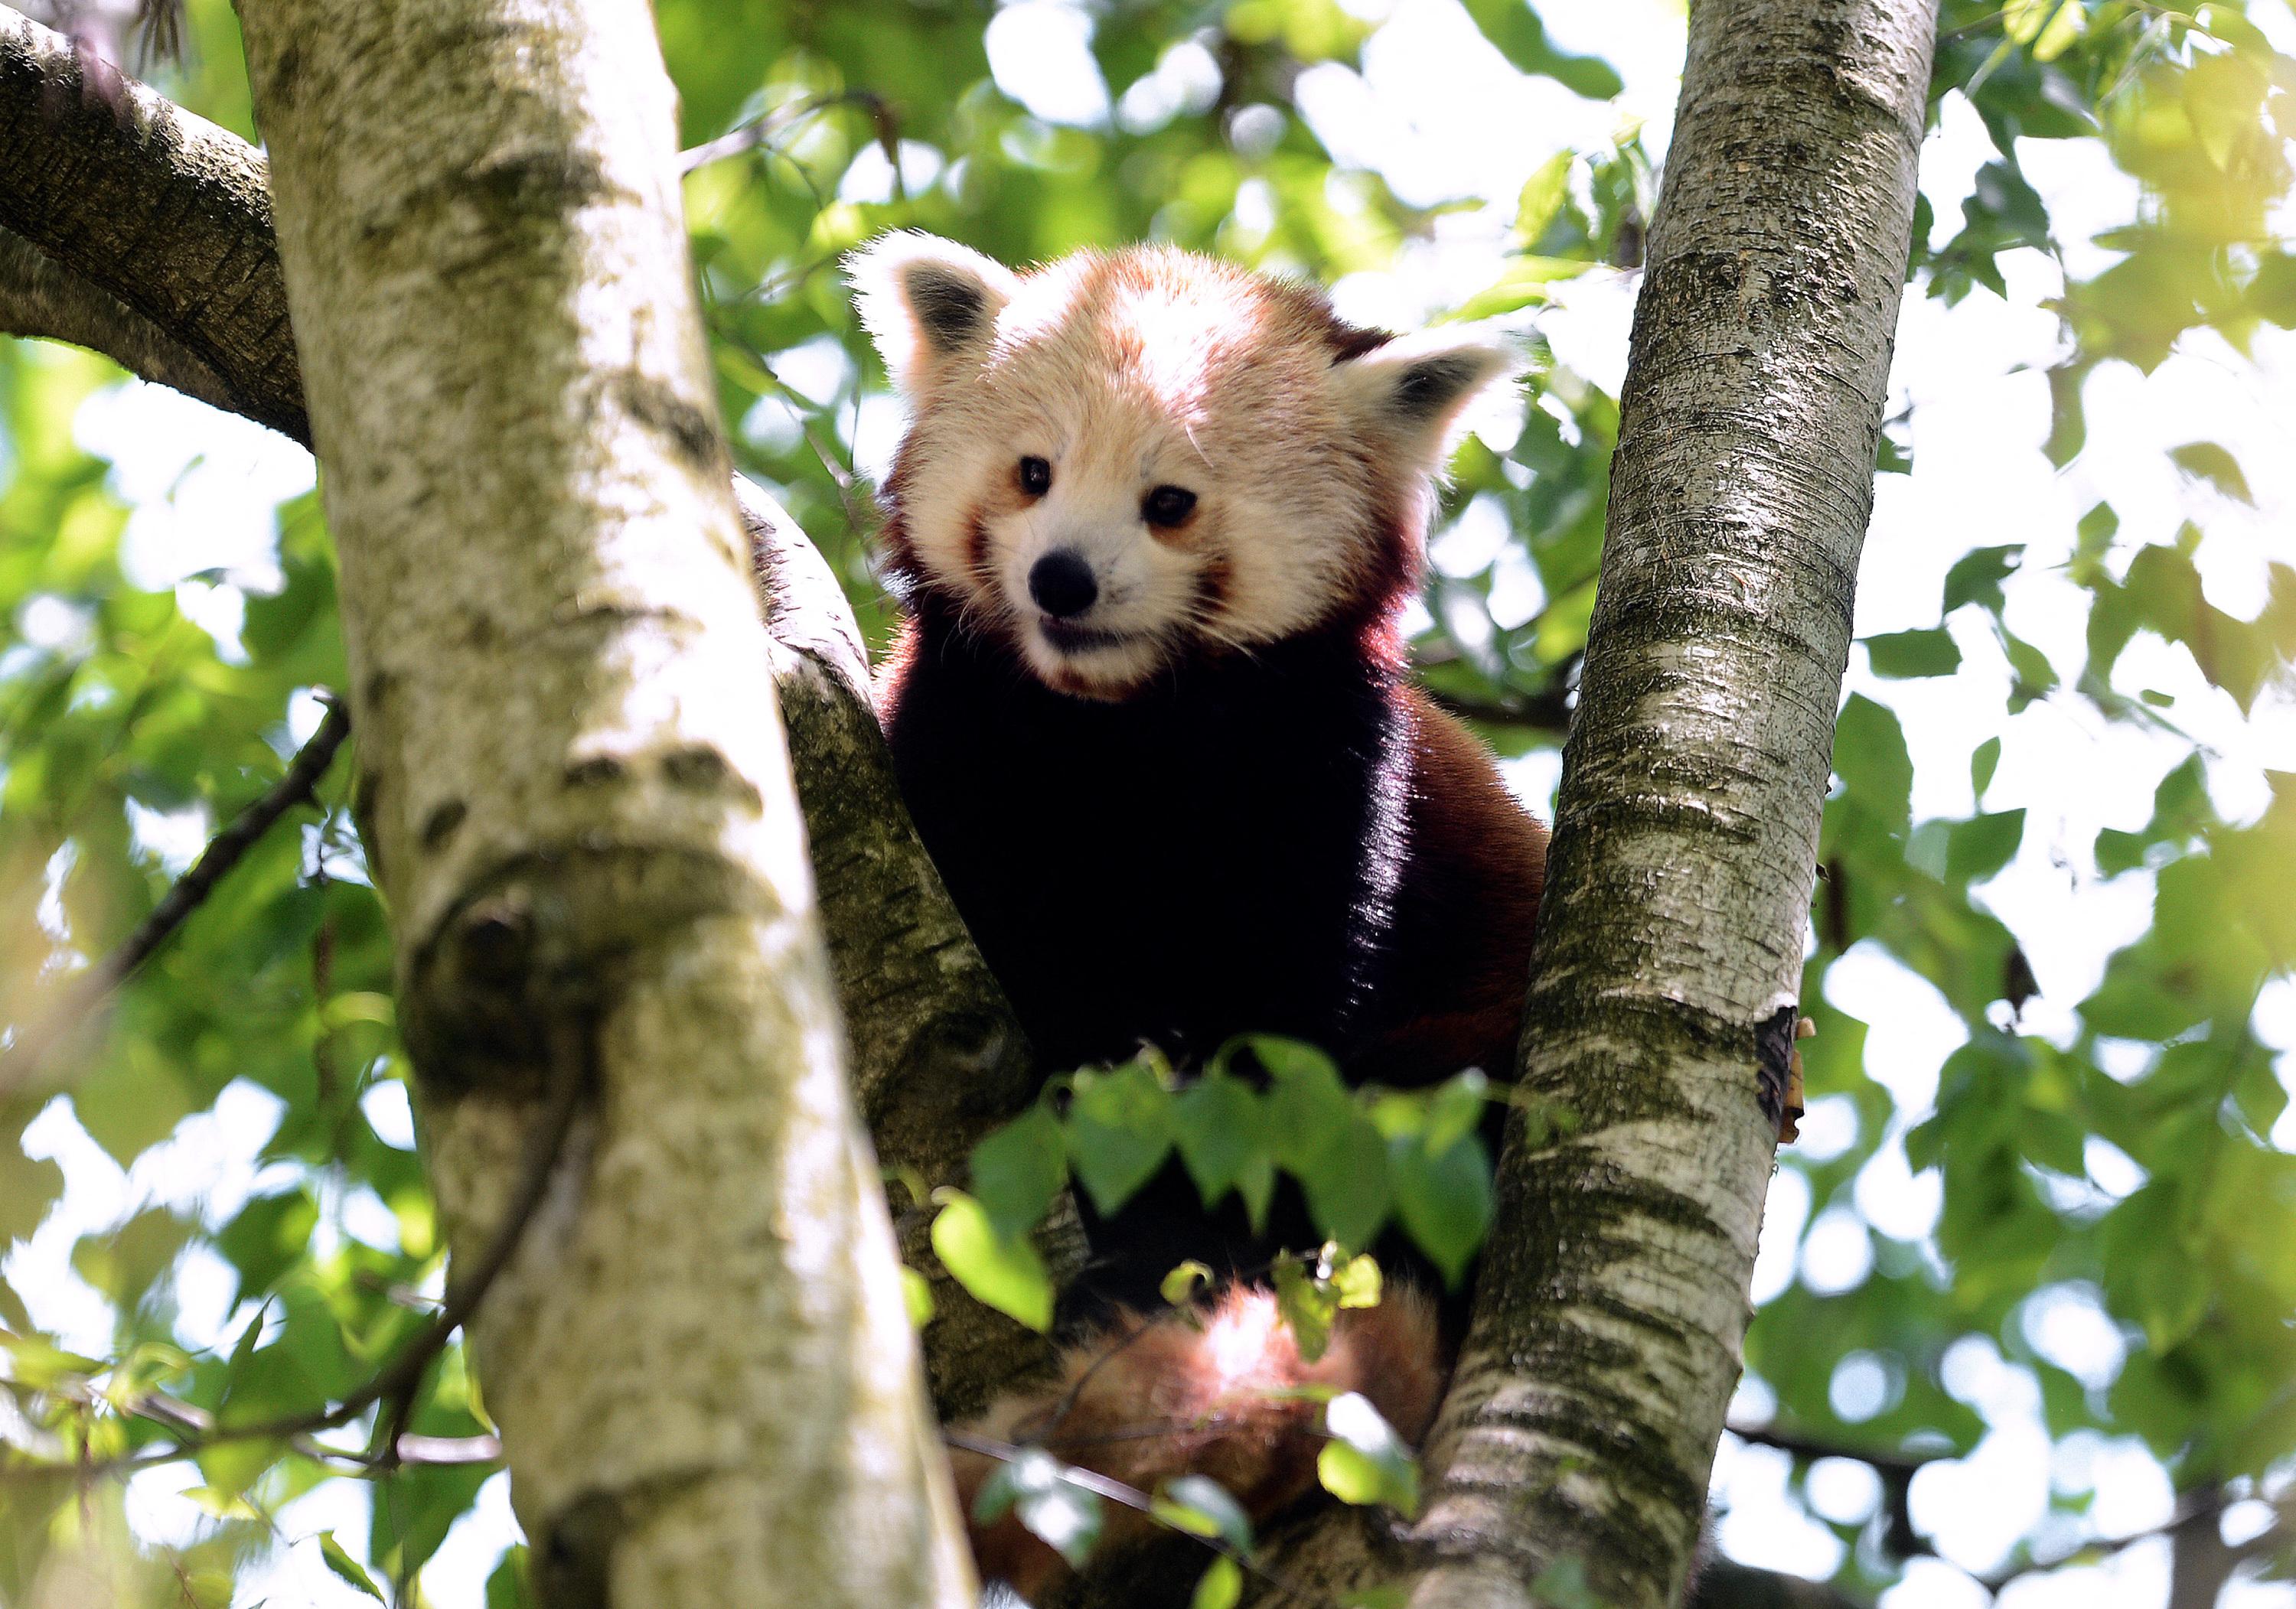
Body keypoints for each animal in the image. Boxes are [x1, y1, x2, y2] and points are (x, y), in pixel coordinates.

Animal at [854, 230, 1552, 1598]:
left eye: (1169, 500)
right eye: (1033, 473)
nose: (1063, 578)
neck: (1126, 736)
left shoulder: (1331, 785)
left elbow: (1272, 1051)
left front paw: (1166, 1229)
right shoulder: (954, 746)